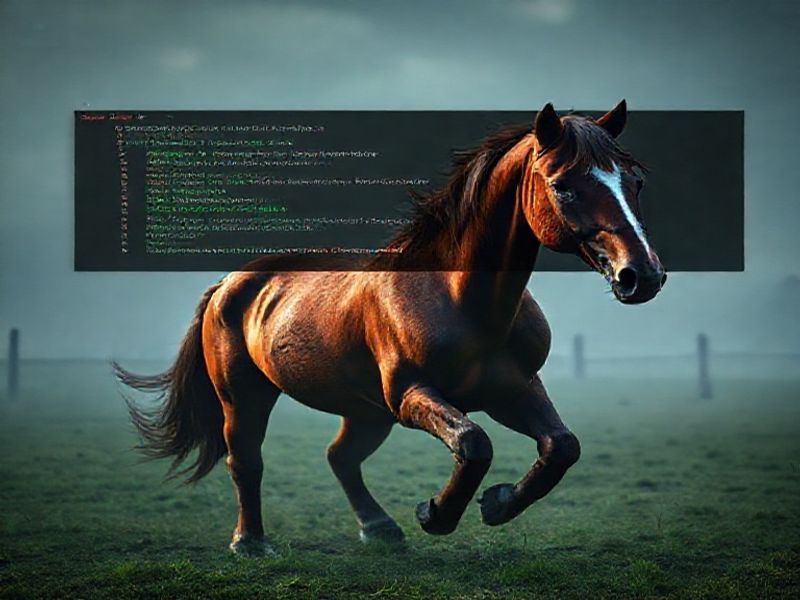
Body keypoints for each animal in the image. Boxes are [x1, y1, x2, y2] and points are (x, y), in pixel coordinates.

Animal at [115, 100, 666, 556]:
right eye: (562, 185)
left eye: (634, 182)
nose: (641, 275)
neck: (463, 303)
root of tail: (229, 282)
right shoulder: (410, 396)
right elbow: (474, 443)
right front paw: (436, 514)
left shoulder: (513, 389)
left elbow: (561, 448)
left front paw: (497, 503)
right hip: (247, 396)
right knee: (246, 461)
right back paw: (250, 543)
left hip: (365, 411)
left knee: (340, 457)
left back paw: (379, 529)